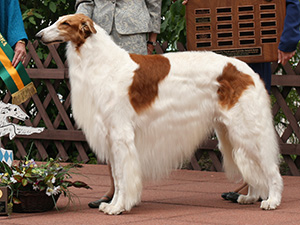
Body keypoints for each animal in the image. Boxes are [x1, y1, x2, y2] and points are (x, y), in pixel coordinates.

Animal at [35, 13, 284, 214]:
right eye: (58, 21)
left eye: (65, 23)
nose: (37, 35)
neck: (103, 62)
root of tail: (247, 70)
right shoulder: (111, 136)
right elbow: (117, 176)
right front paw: (111, 204)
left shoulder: (120, 135)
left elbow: (123, 177)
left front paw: (118, 207)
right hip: (231, 132)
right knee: (252, 167)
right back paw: (250, 196)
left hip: (247, 130)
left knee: (271, 169)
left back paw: (272, 200)